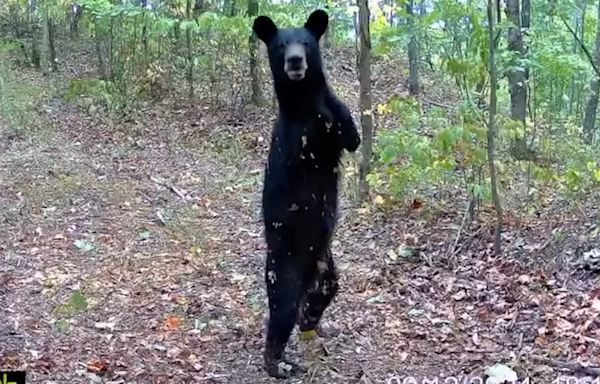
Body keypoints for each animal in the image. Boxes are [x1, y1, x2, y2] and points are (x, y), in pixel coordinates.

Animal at [253, 9, 360, 378]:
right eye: (281, 45)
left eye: (306, 42)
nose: (295, 61)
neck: (303, 99)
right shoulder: (295, 137)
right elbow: (307, 143)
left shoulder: (338, 120)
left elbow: (350, 133)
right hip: (285, 262)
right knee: (282, 309)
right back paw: (278, 363)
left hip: (325, 263)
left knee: (324, 291)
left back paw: (311, 321)